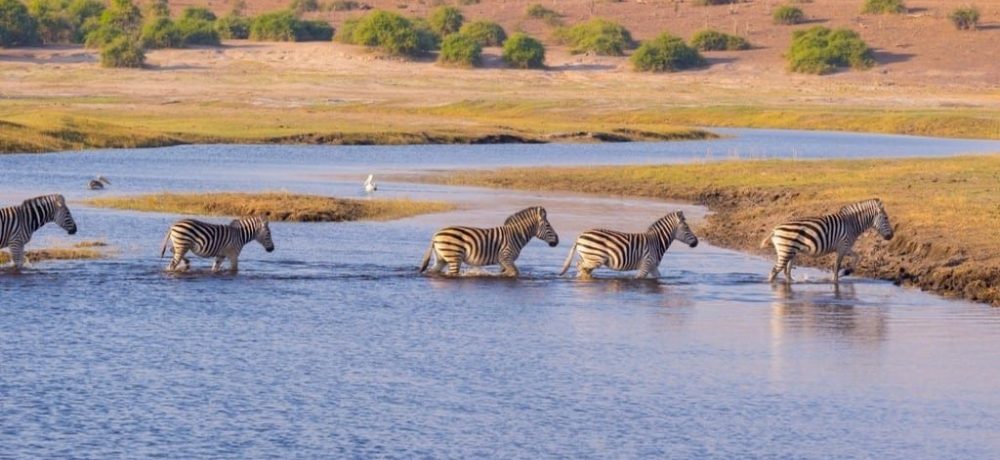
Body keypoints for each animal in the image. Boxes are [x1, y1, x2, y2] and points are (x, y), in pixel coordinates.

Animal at [420, 208, 564, 276]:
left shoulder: (503, 261)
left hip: (441, 258)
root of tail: (436, 234)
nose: (557, 241)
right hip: (454, 256)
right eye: (548, 226)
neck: (515, 235)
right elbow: (515, 272)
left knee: (432, 271)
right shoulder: (505, 257)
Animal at [560, 210, 700, 278]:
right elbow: (639, 279)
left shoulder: (653, 266)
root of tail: (580, 236)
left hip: (589, 257)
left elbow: (659, 277)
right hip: (594, 258)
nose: (697, 242)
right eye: (687, 227)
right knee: (580, 267)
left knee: (582, 268)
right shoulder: (646, 264)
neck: (656, 242)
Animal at [760, 199, 896, 284]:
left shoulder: (846, 247)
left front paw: (847, 272)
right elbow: (836, 267)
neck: (851, 224)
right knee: (774, 272)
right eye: (886, 218)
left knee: (786, 272)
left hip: (790, 252)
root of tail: (775, 229)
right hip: (786, 251)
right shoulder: (842, 247)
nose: (892, 236)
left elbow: (858, 257)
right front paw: (836, 280)